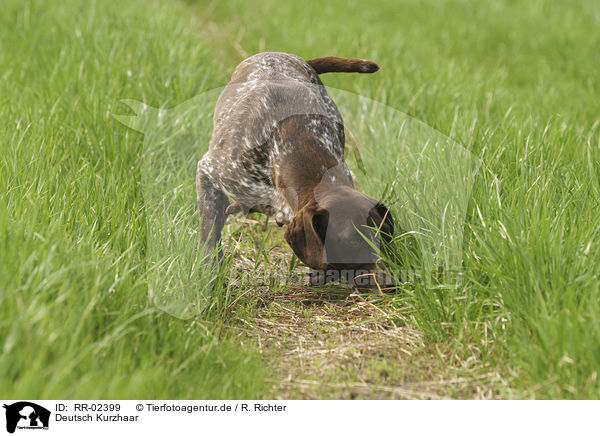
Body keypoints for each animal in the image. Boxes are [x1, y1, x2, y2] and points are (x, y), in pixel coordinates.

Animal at [197, 52, 394, 288]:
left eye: (384, 233)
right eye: (353, 240)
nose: (390, 281)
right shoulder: (209, 172)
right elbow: (210, 233)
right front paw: (210, 275)